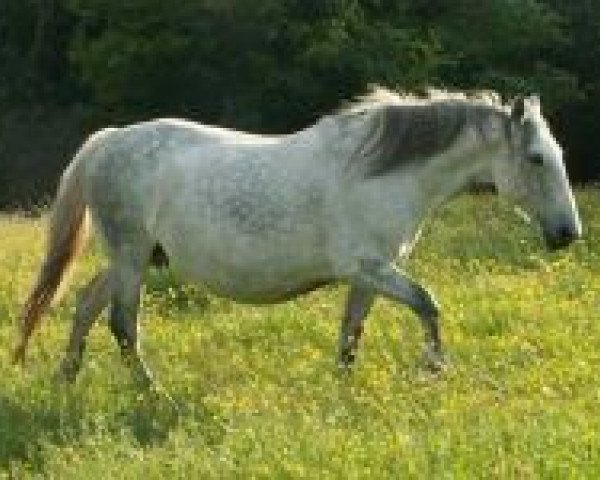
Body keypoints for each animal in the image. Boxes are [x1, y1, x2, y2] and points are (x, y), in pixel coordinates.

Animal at [10, 87, 580, 394]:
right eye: (537, 159)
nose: (568, 234)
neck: (382, 173)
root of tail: (106, 141)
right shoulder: (370, 268)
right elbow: (428, 304)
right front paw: (434, 369)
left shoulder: (369, 276)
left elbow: (351, 334)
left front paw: (343, 389)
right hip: (130, 257)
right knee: (122, 325)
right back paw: (153, 392)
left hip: (136, 257)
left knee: (85, 306)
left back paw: (66, 380)